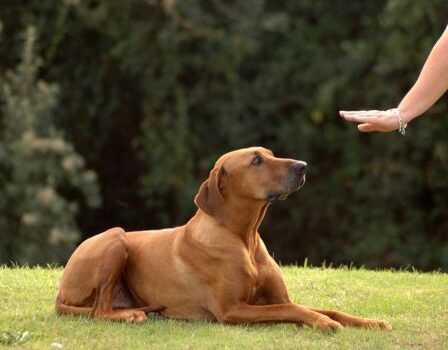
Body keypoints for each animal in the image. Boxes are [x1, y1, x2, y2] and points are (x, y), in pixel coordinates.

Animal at [56, 147, 390, 330]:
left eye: (271, 154)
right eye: (256, 161)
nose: (303, 166)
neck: (244, 237)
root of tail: (60, 292)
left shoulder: (277, 297)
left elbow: (323, 308)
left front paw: (370, 322)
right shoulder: (233, 310)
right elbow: (293, 310)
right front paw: (324, 324)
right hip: (116, 237)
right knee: (98, 310)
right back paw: (130, 316)